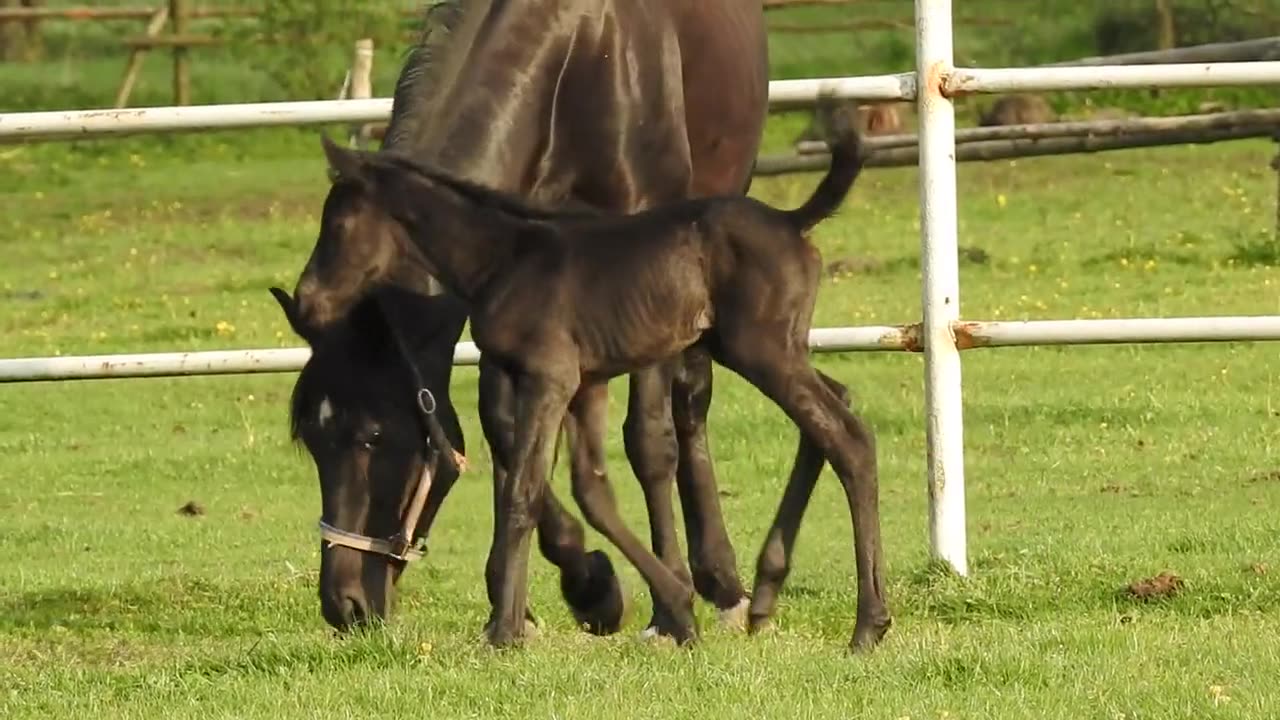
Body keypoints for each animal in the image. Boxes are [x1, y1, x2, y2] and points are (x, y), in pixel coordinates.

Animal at [273, 0, 762, 638]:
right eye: (312, 438)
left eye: (374, 436)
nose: (345, 604)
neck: (577, 56)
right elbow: (508, 434)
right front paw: (580, 587)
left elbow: (649, 442)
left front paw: (665, 608)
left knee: (688, 400)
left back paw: (720, 583)